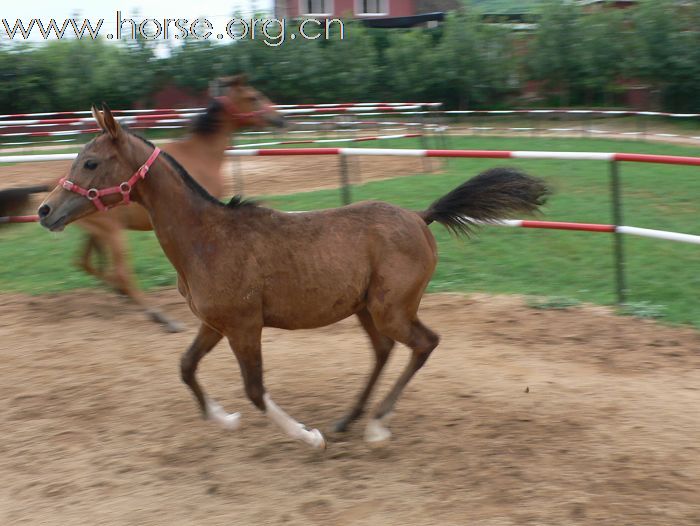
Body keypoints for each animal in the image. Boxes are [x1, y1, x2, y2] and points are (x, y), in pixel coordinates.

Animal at [35, 106, 548, 450]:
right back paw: (348, 420)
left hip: (391, 308)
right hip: (366, 309)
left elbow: (256, 390)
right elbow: (186, 367)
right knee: (384, 351)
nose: (45, 211)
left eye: (91, 163)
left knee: (424, 343)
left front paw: (307, 435)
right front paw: (223, 419)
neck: (207, 237)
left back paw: (376, 424)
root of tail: (421, 217)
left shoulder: (244, 327)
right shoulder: (214, 324)